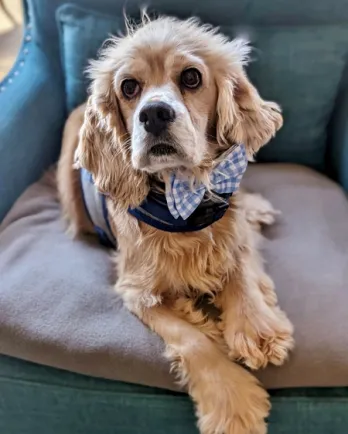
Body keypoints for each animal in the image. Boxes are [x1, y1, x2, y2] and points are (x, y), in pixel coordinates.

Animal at [57, 13, 294, 434]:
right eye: (129, 87)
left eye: (191, 78)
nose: (153, 114)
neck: (182, 199)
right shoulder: (136, 290)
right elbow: (191, 340)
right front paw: (232, 404)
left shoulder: (229, 232)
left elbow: (242, 268)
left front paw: (257, 329)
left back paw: (258, 208)